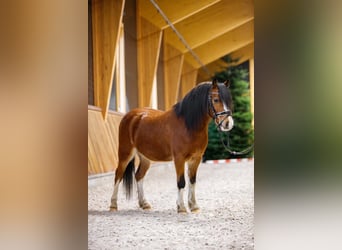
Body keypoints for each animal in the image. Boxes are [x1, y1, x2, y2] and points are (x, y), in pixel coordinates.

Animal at [111, 79, 234, 212]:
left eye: (229, 100)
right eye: (216, 100)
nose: (228, 123)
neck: (188, 125)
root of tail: (131, 116)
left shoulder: (196, 158)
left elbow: (192, 181)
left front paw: (194, 206)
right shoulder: (179, 158)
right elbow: (181, 182)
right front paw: (181, 208)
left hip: (145, 158)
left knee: (139, 176)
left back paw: (144, 204)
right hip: (125, 153)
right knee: (118, 175)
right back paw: (113, 205)